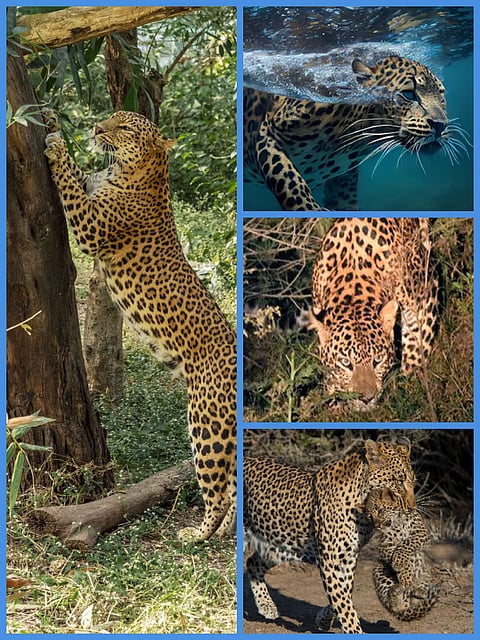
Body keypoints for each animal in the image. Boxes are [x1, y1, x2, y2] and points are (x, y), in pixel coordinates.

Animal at [43, 110, 236, 542]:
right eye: (110, 118)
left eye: (126, 127)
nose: (96, 128)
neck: (131, 171)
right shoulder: (92, 184)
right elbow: (78, 174)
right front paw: (51, 123)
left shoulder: (91, 224)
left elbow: (68, 182)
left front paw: (57, 145)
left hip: (207, 423)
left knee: (217, 487)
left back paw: (199, 534)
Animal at [243, 439, 416, 634]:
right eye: (399, 481)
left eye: (413, 482)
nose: (412, 509)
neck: (363, 511)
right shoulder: (329, 560)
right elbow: (344, 603)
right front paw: (354, 630)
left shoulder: (348, 558)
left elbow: (344, 594)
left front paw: (323, 620)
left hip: (280, 544)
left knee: (252, 563)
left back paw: (267, 606)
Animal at [244, 55, 464, 211]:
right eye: (409, 94)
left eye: (441, 98)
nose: (440, 125)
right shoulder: (267, 131)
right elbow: (290, 182)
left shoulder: (342, 178)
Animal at [305, 217, 438, 408]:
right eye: (346, 363)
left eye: (378, 359)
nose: (366, 399)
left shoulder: (425, 295)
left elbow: (416, 347)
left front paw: (411, 382)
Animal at [365, 487, 439, 621]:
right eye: (370, 516)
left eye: (380, 511)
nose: (377, 526)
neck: (397, 522)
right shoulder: (386, 545)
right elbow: (398, 554)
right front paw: (405, 575)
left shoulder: (421, 533)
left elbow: (406, 543)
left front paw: (400, 565)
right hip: (379, 568)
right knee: (395, 606)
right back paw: (397, 592)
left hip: (427, 570)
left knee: (416, 596)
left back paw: (418, 591)